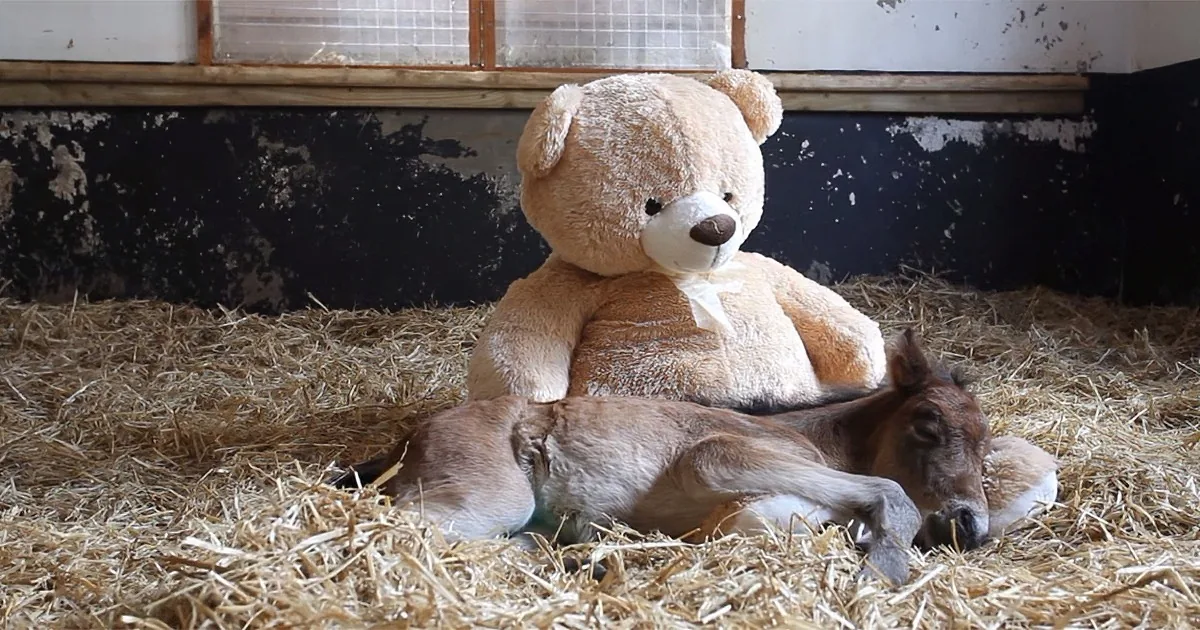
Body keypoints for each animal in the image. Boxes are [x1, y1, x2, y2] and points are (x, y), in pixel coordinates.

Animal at [329, 328, 991, 586]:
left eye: (987, 445)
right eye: (927, 424)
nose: (971, 525)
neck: (815, 439)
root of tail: (412, 436)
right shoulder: (719, 458)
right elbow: (888, 495)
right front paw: (884, 567)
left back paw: (582, 559)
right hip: (488, 499)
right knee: (396, 530)